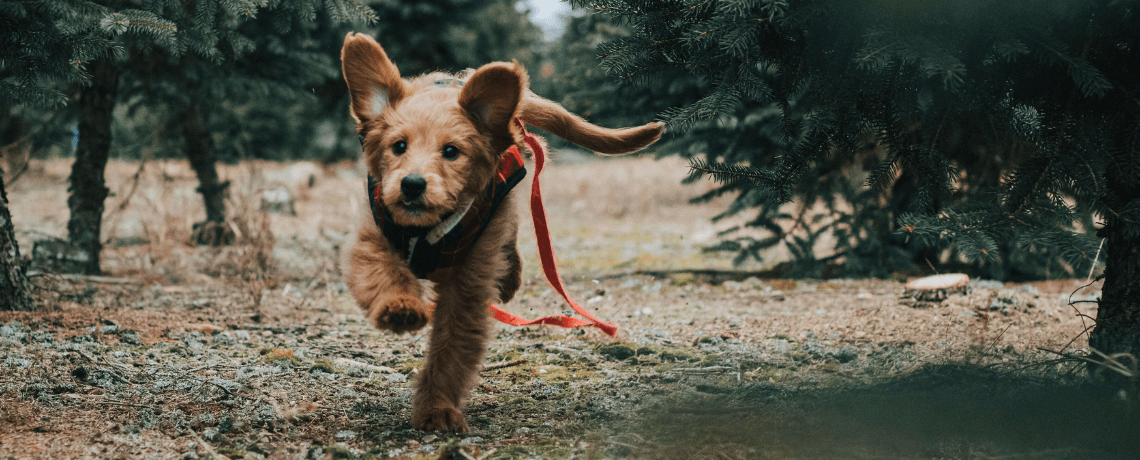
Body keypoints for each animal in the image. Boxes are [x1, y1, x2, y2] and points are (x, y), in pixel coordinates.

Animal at [337, 32, 661, 430]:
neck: (429, 228)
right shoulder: (373, 236)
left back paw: (509, 278)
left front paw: (437, 408)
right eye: (399, 146)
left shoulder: (469, 284)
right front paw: (400, 308)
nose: (412, 184)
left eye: (451, 152)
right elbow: (383, 274)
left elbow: (451, 348)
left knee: (511, 236)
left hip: (501, 211)